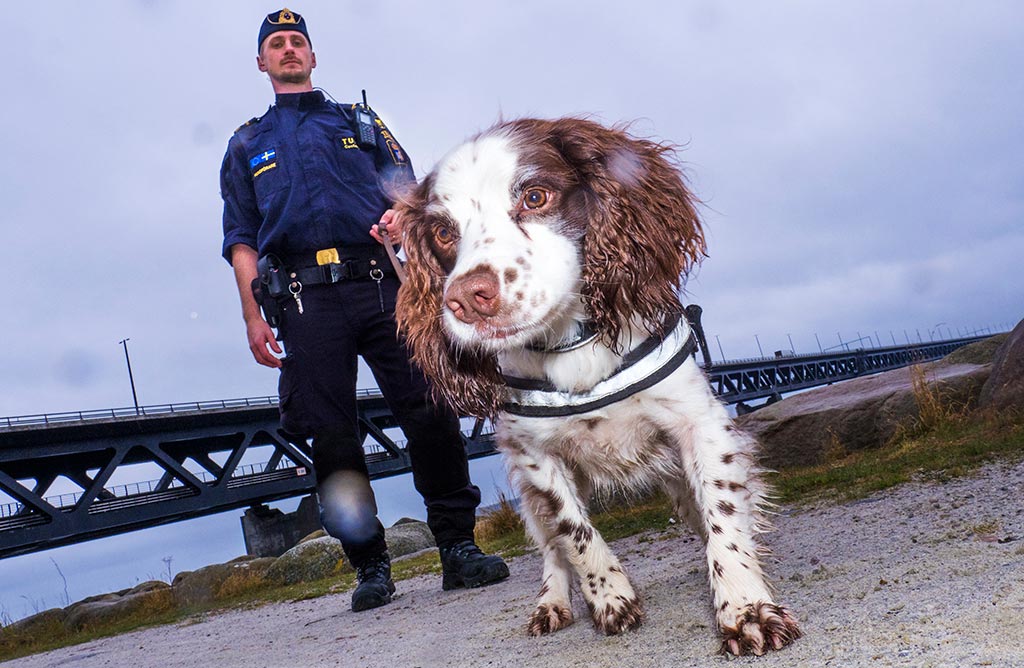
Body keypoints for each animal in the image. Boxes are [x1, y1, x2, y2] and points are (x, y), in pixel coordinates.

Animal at [391, 117, 798, 655]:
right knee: (551, 549)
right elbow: (574, 533)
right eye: (441, 232)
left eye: (536, 196)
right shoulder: (535, 457)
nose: (466, 299)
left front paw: (745, 608)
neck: (572, 347)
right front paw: (609, 598)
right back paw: (552, 603)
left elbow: (723, 517)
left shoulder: (701, 424)